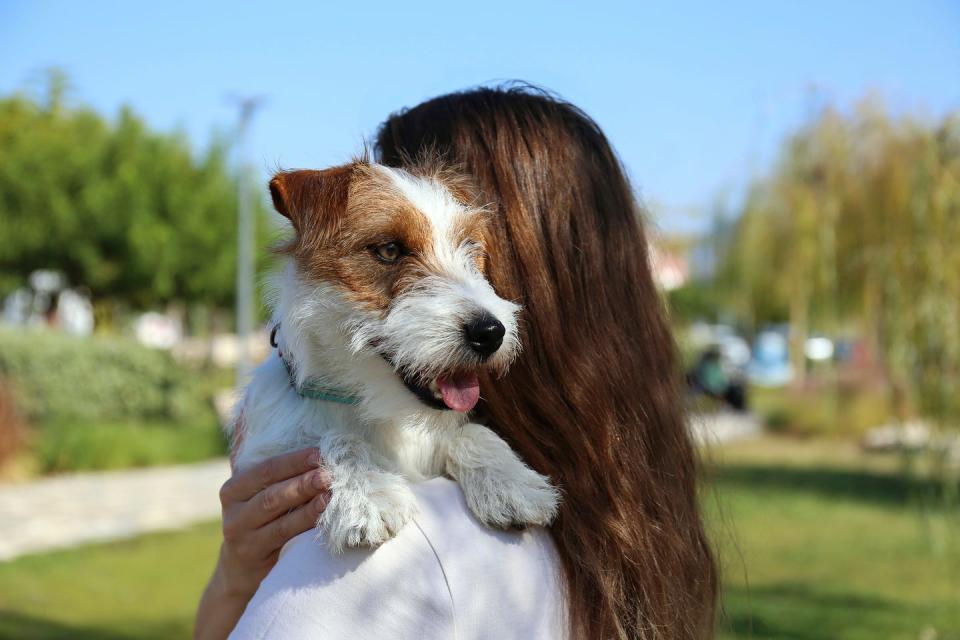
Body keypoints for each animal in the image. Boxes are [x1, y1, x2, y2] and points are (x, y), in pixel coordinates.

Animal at [232, 160, 560, 552]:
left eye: (470, 250)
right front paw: (367, 495)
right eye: (389, 250)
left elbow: (471, 431)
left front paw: (510, 482)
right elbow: (332, 440)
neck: (379, 415)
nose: (490, 333)